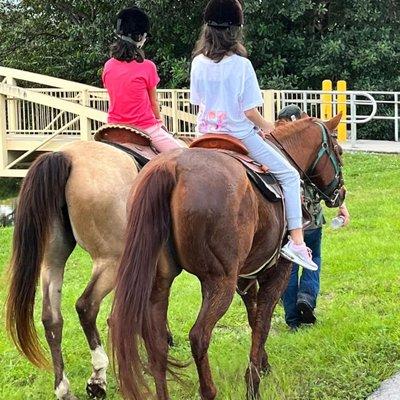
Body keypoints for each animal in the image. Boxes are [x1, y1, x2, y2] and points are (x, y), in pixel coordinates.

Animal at [4, 139, 141, 398]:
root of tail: (65, 155)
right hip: (111, 261)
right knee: (86, 306)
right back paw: (98, 376)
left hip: (52, 261)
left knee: (51, 319)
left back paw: (63, 388)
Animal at [109, 113, 346, 400]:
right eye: (339, 151)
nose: (340, 193)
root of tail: (170, 168)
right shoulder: (277, 271)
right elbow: (263, 320)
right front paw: (253, 383)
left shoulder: (246, 275)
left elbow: (253, 317)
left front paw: (263, 364)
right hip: (219, 282)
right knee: (199, 336)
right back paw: (209, 390)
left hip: (159, 282)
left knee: (156, 343)